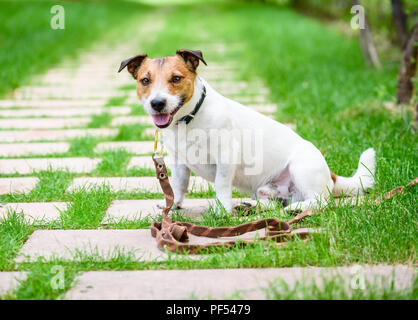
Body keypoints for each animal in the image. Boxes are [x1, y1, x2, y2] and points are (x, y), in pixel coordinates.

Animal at [117, 49, 376, 212]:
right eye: (145, 80)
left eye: (176, 78)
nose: (157, 103)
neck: (189, 120)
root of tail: (331, 175)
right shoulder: (180, 162)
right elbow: (179, 186)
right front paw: (174, 204)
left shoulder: (226, 157)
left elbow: (221, 185)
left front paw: (222, 209)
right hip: (264, 189)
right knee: (274, 203)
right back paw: (251, 205)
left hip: (301, 169)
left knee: (320, 202)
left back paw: (295, 209)